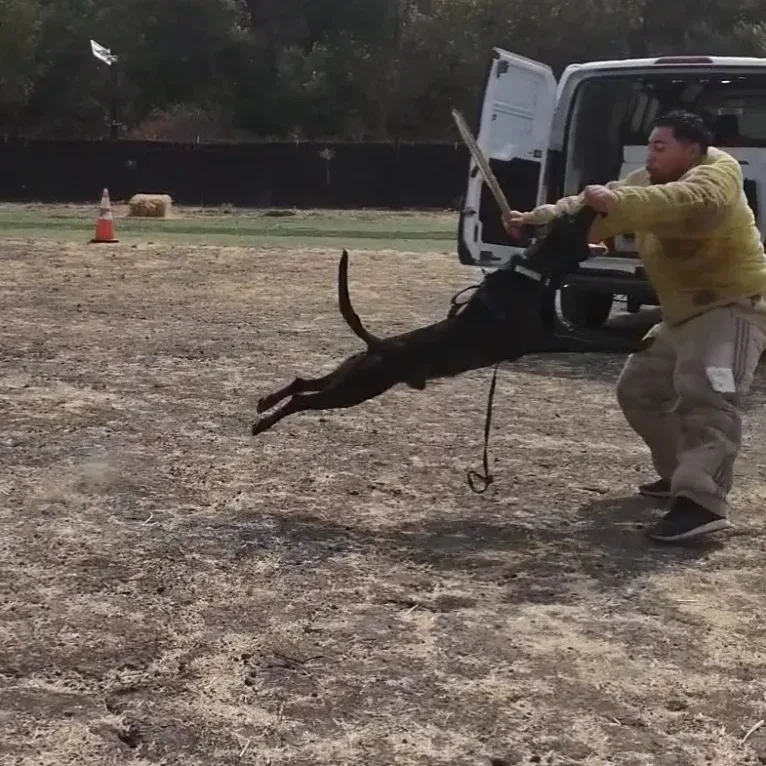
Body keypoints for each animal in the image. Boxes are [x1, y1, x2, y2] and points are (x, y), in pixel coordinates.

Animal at [252, 207, 640, 440]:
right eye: (574, 219)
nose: (593, 199)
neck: (534, 273)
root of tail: (378, 343)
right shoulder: (548, 337)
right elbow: (594, 342)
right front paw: (636, 343)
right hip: (356, 389)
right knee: (303, 399)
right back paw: (262, 423)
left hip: (351, 375)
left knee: (303, 382)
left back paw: (264, 404)